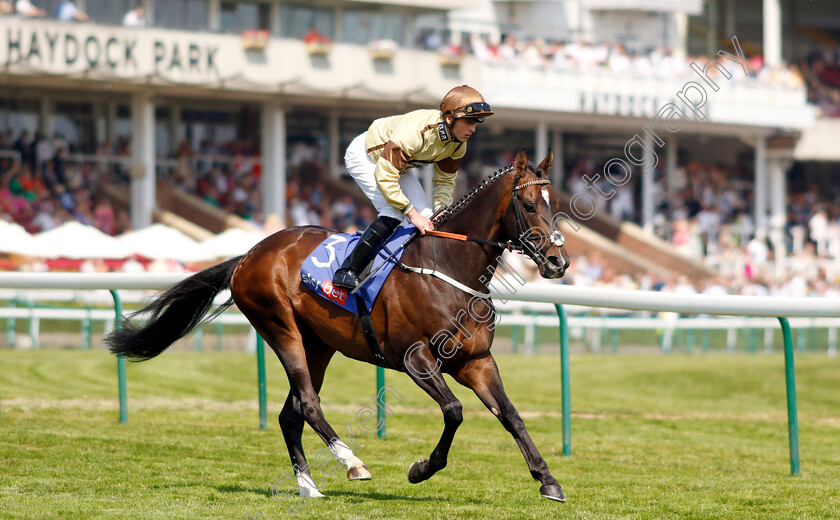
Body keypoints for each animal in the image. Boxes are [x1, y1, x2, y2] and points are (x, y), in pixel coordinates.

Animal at [105, 149, 572, 504]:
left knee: (290, 415)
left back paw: (308, 487)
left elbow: (511, 416)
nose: (558, 262)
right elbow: (454, 411)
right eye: (530, 206)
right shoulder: (415, 357)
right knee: (309, 405)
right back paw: (353, 463)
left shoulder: (476, 360)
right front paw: (421, 468)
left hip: (318, 346)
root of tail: (248, 255)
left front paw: (548, 480)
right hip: (281, 328)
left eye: (555, 206)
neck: (449, 266)